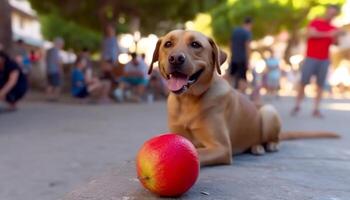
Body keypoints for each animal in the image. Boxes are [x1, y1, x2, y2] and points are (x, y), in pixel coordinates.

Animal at [148, 30, 340, 167]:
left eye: (195, 44)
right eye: (168, 44)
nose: (175, 58)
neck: (188, 101)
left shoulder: (222, 148)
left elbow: (198, 154)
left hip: (269, 111)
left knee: (272, 138)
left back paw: (266, 145)